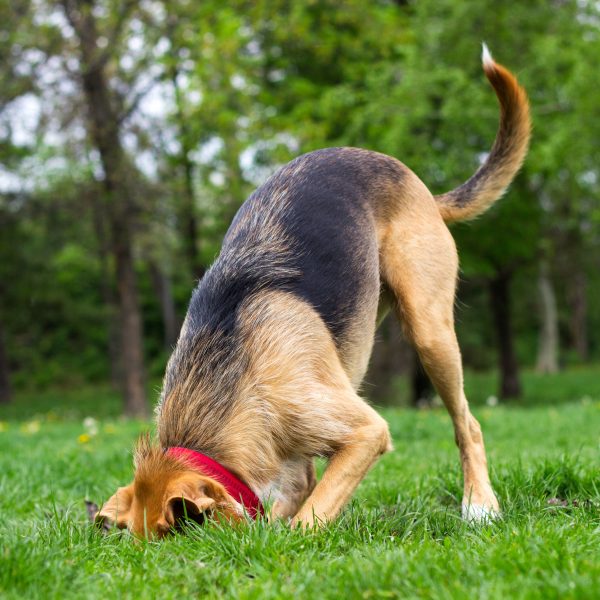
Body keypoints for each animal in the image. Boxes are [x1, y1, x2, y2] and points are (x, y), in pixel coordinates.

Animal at [94, 44, 528, 536]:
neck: (228, 376)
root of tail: (421, 189)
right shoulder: (292, 462)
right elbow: (298, 493)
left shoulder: (364, 432)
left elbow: (309, 518)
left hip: (430, 331)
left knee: (467, 423)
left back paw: (479, 504)